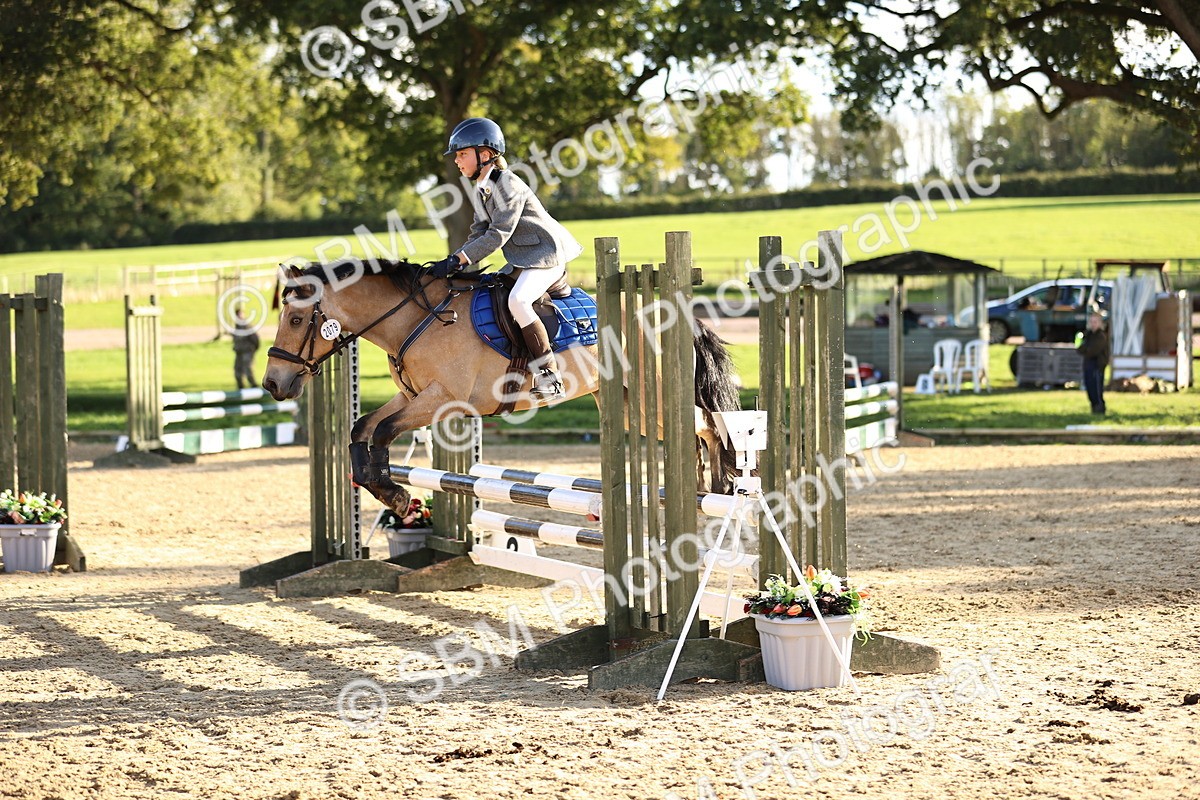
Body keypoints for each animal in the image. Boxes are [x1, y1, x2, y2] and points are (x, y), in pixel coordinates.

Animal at [261, 260, 740, 516]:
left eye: (297, 319)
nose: (272, 383)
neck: (416, 319)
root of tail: (681, 315)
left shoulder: (444, 400)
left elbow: (381, 431)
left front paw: (396, 494)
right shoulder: (414, 397)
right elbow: (361, 428)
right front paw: (386, 491)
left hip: (648, 398)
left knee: (710, 424)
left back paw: (720, 486)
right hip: (629, 408)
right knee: (693, 431)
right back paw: (701, 487)